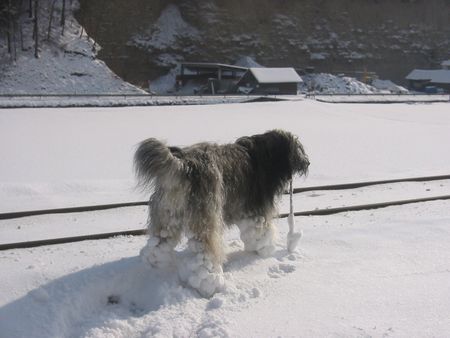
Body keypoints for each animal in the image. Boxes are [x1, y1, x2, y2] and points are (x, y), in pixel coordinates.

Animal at [134, 129, 310, 296]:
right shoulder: (256, 211)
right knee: (204, 257)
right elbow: (261, 233)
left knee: (157, 245)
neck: (264, 154)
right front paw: (263, 252)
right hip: (205, 218)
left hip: (167, 216)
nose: (307, 163)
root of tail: (183, 165)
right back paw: (211, 285)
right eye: (298, 147)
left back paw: (153, 270)